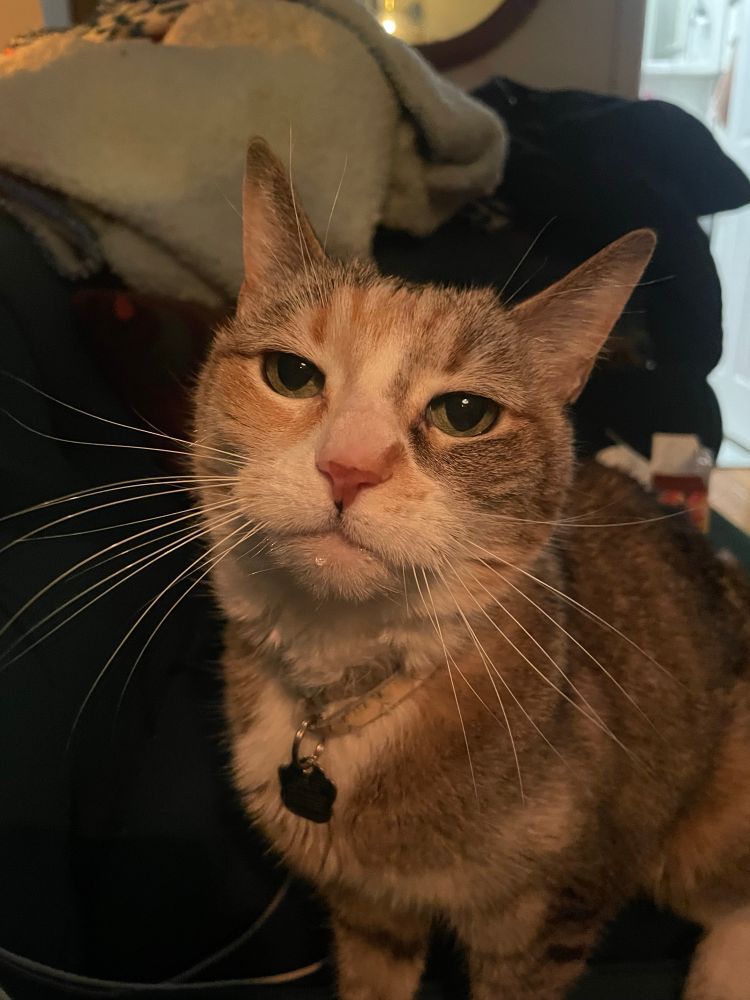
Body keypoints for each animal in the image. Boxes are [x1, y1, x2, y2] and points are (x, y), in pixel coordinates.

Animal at [192, 138, 750, 1000]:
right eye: (291, 373)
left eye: (464, 414)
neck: (345, 687)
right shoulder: (369, 913)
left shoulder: (547, 919)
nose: (348, 468)